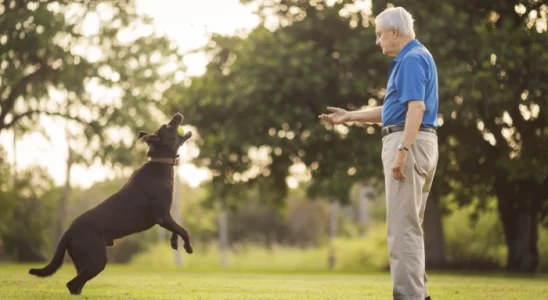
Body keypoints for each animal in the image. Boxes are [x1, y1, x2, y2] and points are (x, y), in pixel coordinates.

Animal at [28, 111, 195, 294]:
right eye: (168, 126)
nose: (177, 114)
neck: (160, 161)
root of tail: (68, 231)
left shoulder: (167, 215)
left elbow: (176, 229)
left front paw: (174, 242)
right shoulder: (162, 216)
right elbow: (184, 230)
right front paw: (188, 247)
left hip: (82, 261)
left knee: (76, 284)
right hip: (97, 260)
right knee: (72, 284)